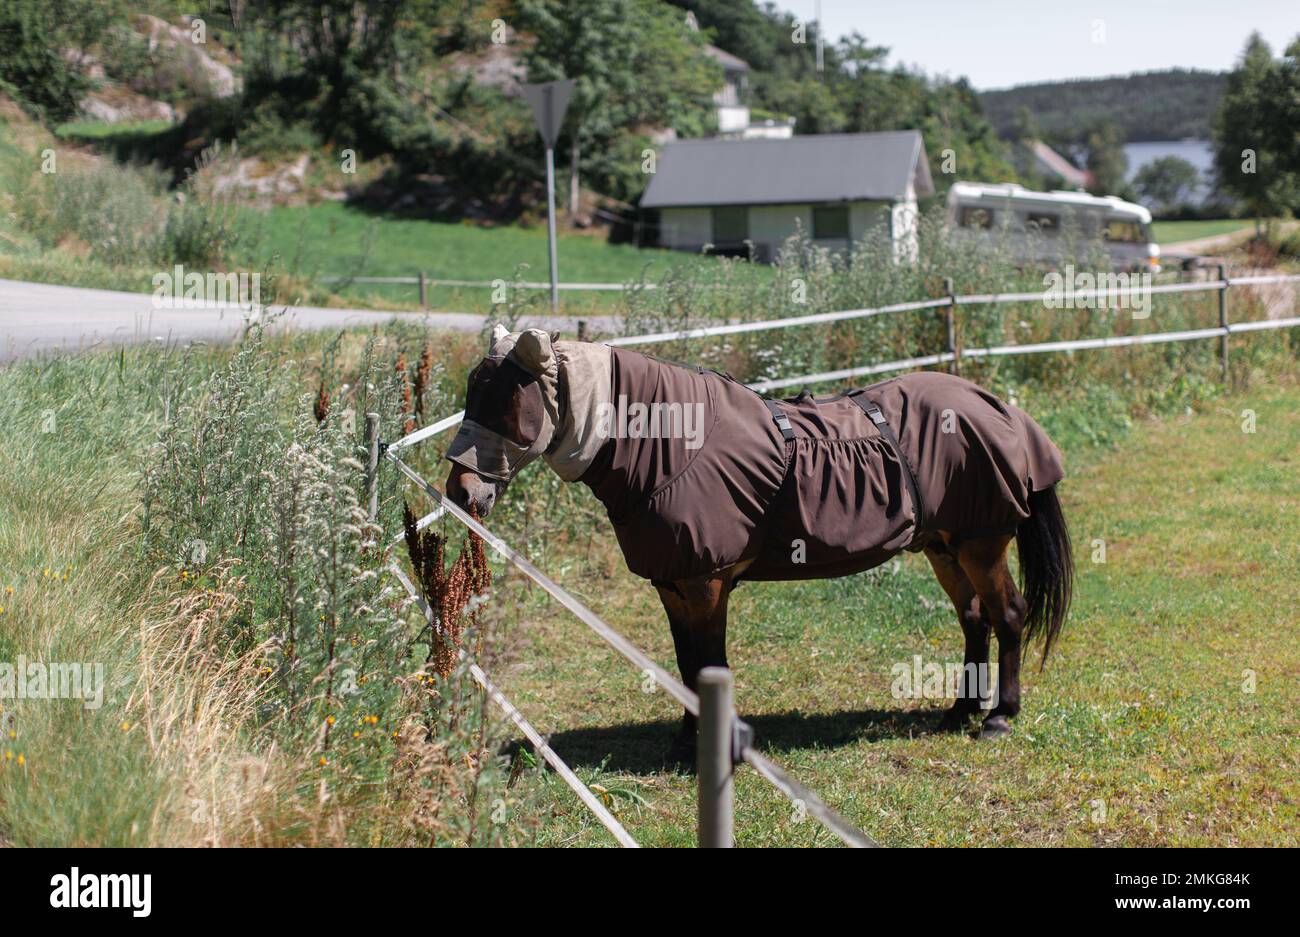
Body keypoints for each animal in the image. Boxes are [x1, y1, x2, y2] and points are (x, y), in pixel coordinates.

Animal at [445, 326, 1073, 760]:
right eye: (472, 394)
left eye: (508, 403)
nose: (460, 492)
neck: (677, 444)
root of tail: (1002, 411)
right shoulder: (673, 583)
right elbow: (689, 665)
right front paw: (688, 740)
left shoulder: (706, 583)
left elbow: (708, 664)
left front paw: (712, 748)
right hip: (946, 547)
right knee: (975, 618)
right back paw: (959, 711)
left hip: (981, 543)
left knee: (1008, 614)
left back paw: (998, 717)